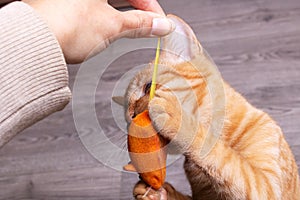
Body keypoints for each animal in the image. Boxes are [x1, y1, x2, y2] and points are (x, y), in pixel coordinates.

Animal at [120, 14, 298, 199]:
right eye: (128, 117)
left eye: (148, 87)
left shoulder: (266, 187)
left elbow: (224, 157)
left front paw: (176, 117)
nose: (134, 115)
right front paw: (157, 193)